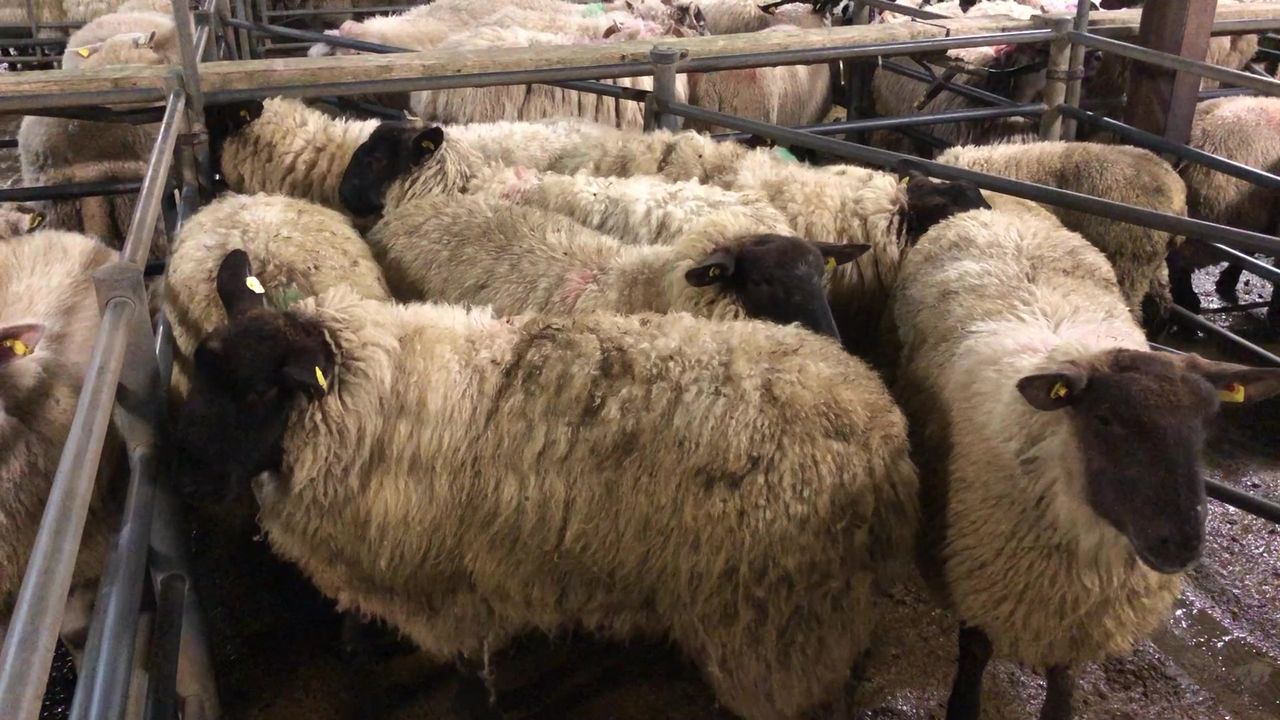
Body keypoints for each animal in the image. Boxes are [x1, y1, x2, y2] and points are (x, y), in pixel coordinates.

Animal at [173, 248, 920, 720]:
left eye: (259, 392)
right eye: (198, 380)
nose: (188, 480)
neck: (380, 402)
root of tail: (881, 422)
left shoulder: (454, 584)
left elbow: (469, 680)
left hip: (778, 623)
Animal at [890, 189, 1280, 720]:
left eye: (1205, 425)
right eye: (1105, 419)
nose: (1180, 542)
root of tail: (996, 209)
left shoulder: (1078, 620)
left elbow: (1063, 676)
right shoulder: (973, 574)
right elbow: (975, 651)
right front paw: (963, 704)